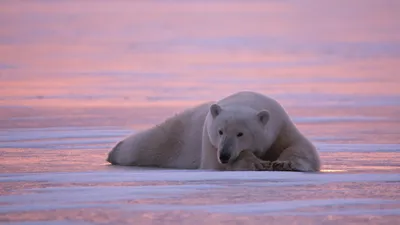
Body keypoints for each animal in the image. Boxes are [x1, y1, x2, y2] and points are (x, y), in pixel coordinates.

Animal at [107, 90, 322, 171]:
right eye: (220, 131)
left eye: (240, 133)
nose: (225, 154)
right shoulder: (208, 141)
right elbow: (217, 165)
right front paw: (257, 163)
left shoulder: (281, 126)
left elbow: (300, 148)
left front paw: (284, 163)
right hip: (174, 136)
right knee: (144, 144)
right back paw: (114, 152)